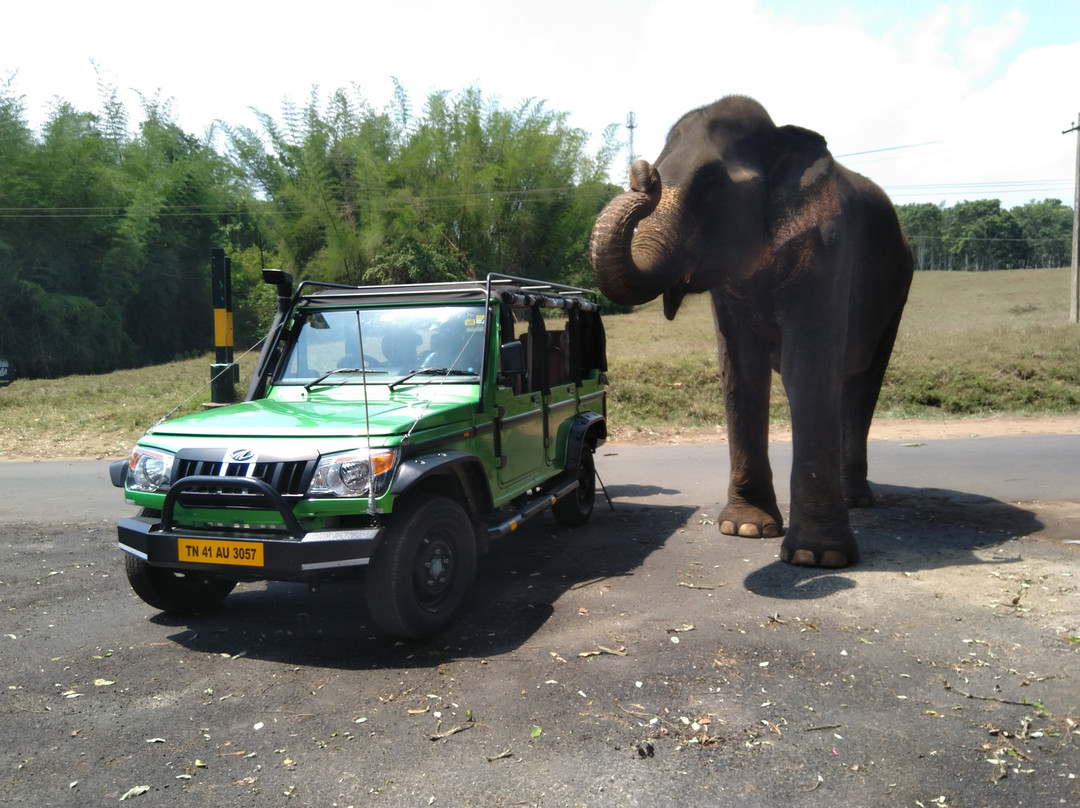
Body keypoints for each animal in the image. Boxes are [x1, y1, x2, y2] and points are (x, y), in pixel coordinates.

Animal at [591, 97, 911, 566]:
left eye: (710, 183)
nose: (641, 172)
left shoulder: (826, 248)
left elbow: (806, 368)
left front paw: (817, 557)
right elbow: (740, 371)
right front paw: (745, 529)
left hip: (898, 291)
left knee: (861, 383)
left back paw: (856, 500)